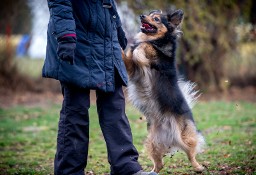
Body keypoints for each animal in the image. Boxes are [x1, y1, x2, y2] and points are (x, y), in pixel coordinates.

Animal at [122, 9, 206, 172]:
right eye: (149, 14)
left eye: (156, 19)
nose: (142, 16)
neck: (156, 40)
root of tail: (170, 137)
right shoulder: (132, 68)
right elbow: (129, 55)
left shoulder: (157, 59)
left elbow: (145, 47)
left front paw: (139, 48)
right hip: (152, 143)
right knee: (159, 164)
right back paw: (152, 171)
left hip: (185, 136)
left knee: (191, 153)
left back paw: (198, 167)